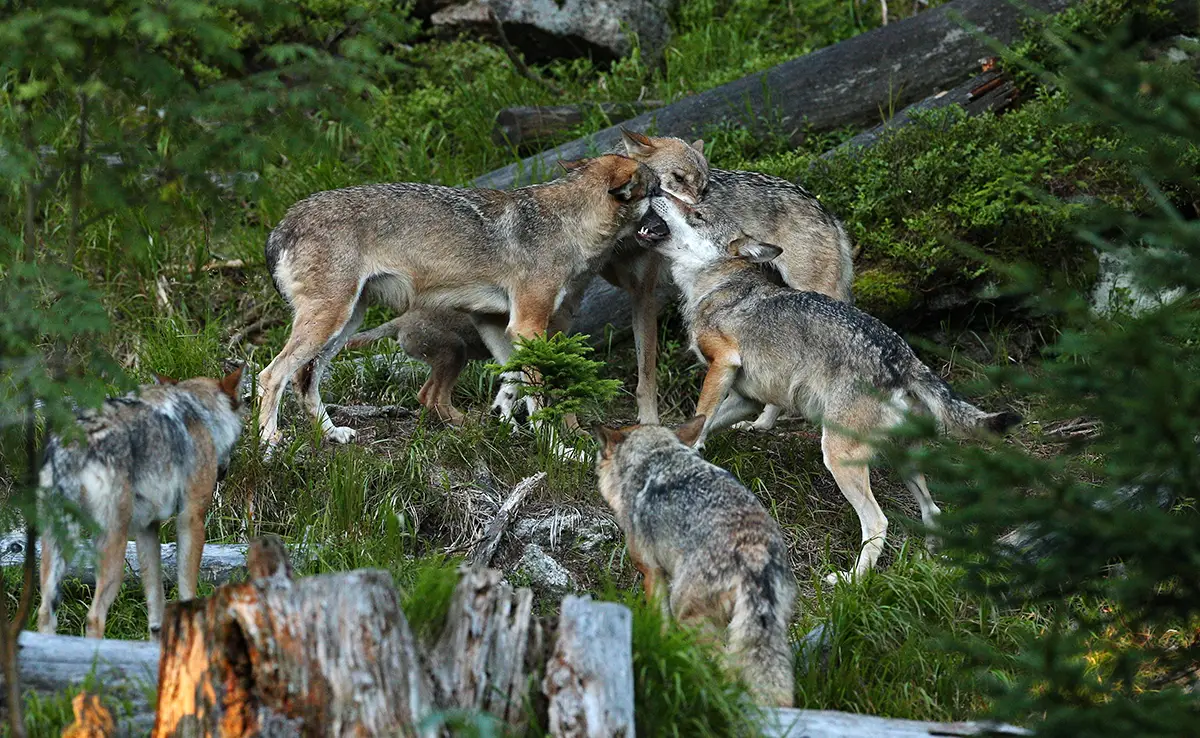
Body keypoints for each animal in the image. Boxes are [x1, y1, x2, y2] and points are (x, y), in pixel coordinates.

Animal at [37, 367, 244, 638]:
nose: (224, 472)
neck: (198, 410)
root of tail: (74, 443)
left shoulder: (147, 528)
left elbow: (156, 606)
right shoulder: (192, 518)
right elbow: (187, 588)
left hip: (59, 547)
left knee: (44, 612)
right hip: (114, 549)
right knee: (94, 616)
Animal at [256, 154, 662, 451]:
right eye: (659, 190)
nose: (673, 216)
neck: (568, 225)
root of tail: (280, 226)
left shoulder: (495, 323)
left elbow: (511, 381)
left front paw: (501, 420)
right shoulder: (527, 325)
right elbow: (539, 397)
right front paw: (559, 450)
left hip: (345, 323)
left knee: (304, 380)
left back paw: (332, 434)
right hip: (329, 322)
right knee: (270, 374)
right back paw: (269, 444)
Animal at [592, 417, 796, 705]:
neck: (655, 455)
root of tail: (754, 553)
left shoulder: (652, 572)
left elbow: (660, 623)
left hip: (688, 615)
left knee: (725, 667)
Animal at [619, 130, 854, 432]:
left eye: (703, 189)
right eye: (678, 178)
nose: (702, 209)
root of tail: (827, 212)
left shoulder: (647, 297)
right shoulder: (636, 295)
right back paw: (762, 423)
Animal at [633, 200, 1017, 583]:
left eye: (696, 214)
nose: (656, 193)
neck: (715, 285)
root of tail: (904, 360)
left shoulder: (724, 363)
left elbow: (701, 414)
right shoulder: (747, 397)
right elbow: (704, 421)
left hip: (838, 456)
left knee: (878, 522)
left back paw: (850, 581)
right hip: (902, 462)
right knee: (933, 510)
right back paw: (930, 561)